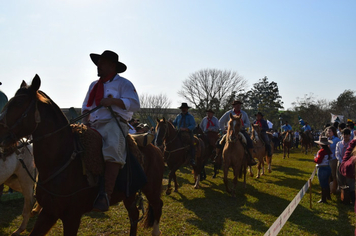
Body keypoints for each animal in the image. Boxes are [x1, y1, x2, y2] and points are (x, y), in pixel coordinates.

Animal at [0, 75, 163, 236]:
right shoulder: (49, 212)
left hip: (151, 188)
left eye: (19, 103)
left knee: (157, 206)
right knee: (134, 215)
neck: (62, 161)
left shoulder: (72, 216)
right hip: (129, 194)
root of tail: (154, 147)